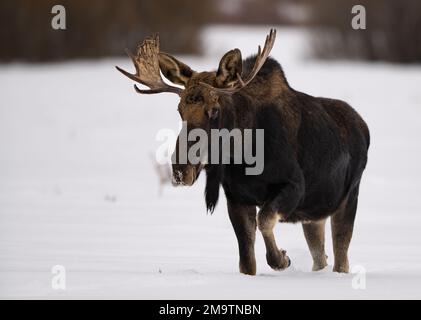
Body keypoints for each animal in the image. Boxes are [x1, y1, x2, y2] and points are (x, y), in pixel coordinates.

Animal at [115, 30, 368, 276]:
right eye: (180, 109)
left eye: (214, 110)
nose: (180, 170)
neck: (244, 154)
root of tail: (364, 127)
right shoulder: (236, 197)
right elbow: (246, 261)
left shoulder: (294, 185)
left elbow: (264, 219)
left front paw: (281, 259)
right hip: (313, 215)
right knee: (320, 257)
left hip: (348, 198)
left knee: (341, 260)